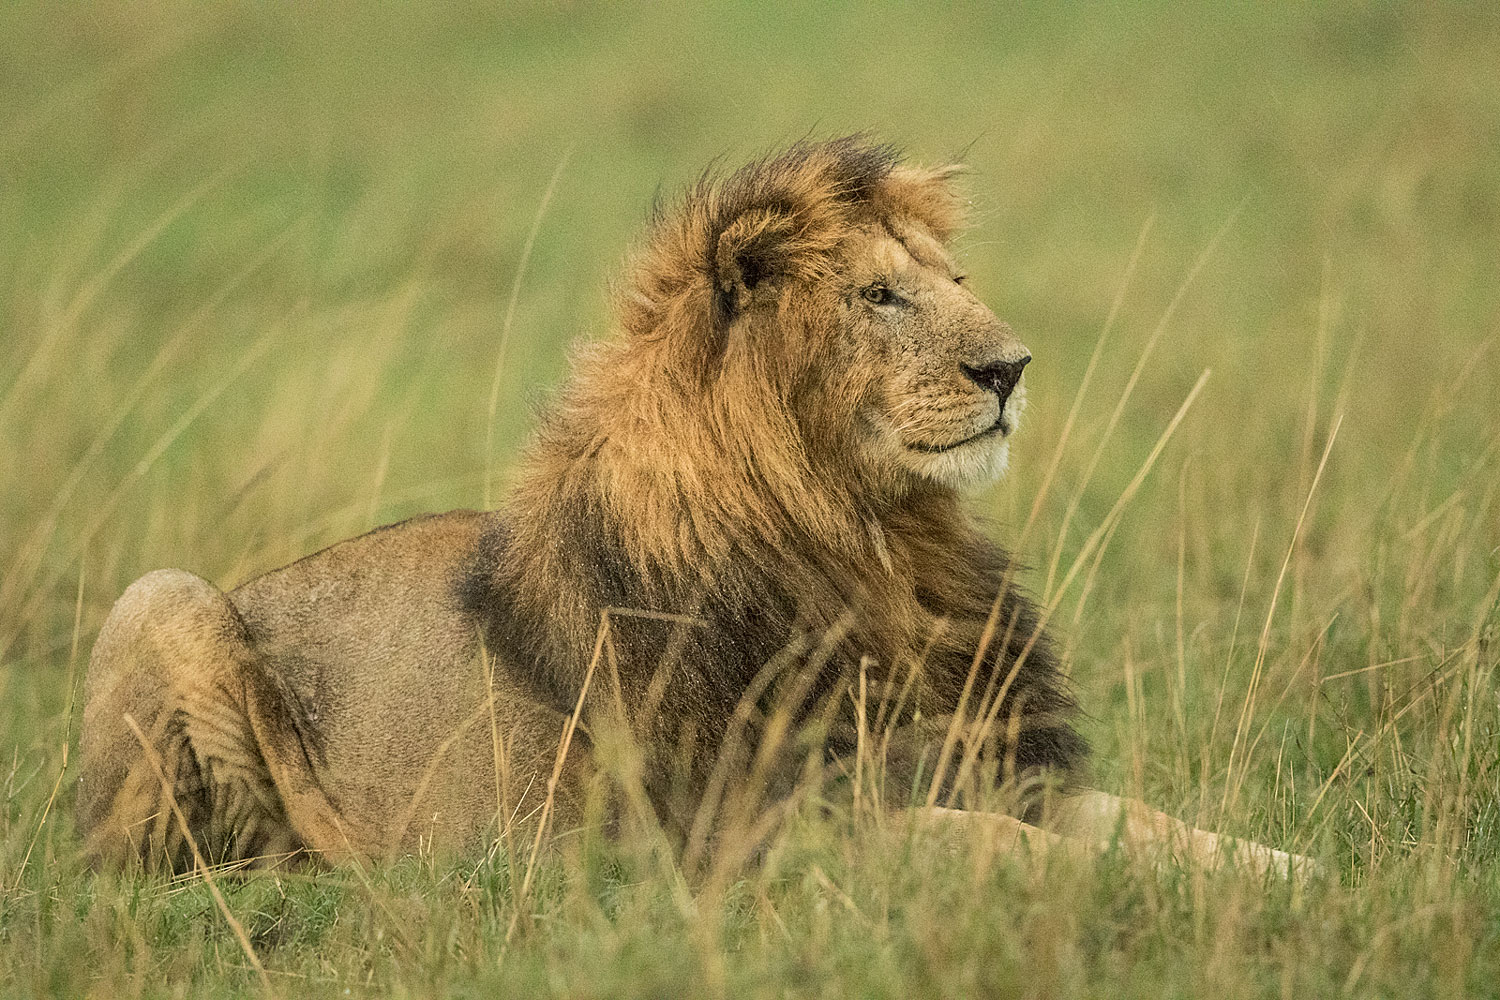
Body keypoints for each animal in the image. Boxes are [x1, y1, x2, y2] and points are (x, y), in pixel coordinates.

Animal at [76, 138, 1314, 875]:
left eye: (956, 284)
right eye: (880, 294)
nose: (1010, 367)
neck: (872, 544)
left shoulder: (998, 759)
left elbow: (1143, 821)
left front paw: (1294, 871)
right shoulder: (741, 834)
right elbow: (987, 840)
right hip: (165, 596)